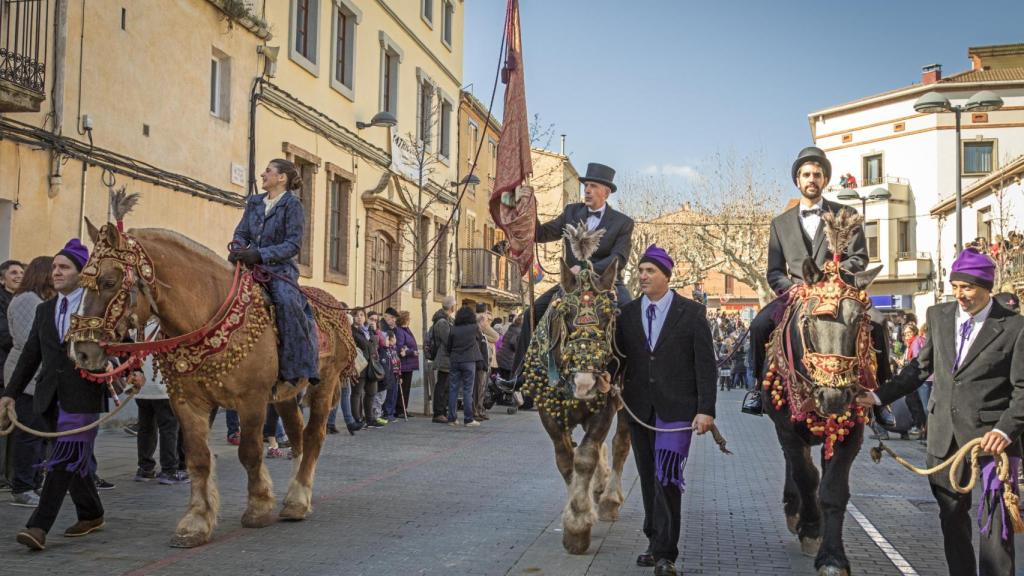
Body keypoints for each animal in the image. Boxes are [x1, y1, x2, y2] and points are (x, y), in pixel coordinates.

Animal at [70, 217, 354, 545]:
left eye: (109, 282)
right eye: (81, 284)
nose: (83, 352)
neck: (209, 318)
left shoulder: (252, 399)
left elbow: (250, 452)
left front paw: (257, 508)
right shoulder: (187, 402)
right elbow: (198, 458)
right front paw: (196, 522)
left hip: (325, 383)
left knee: (314, 435)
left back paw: (298, 498)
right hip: (284, 394)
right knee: (296, 434)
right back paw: (297, 495)